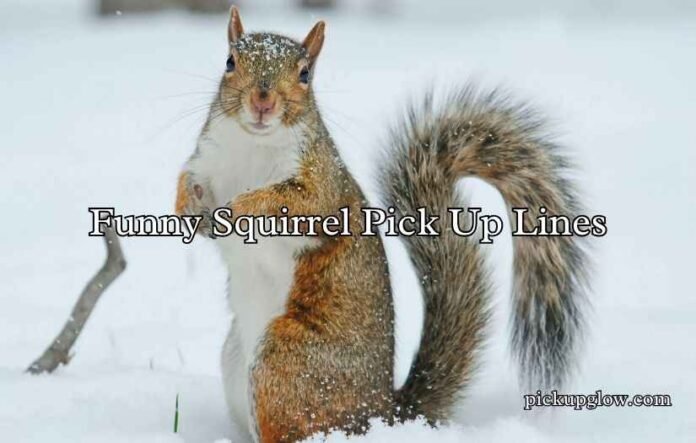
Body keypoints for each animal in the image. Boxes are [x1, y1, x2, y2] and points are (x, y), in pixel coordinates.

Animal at [174, 7, 590, 443]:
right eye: (230, 62)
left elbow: (295, 203)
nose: (263, 101)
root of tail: (383, 415)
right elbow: (187, 183)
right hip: (237, 361)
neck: (252, 145)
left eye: (305, 74)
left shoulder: (322, 186)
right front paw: (190, 210)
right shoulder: (207, 161)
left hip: (286, 364)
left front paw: (239, 207)